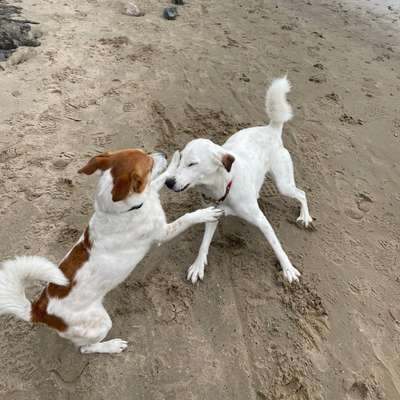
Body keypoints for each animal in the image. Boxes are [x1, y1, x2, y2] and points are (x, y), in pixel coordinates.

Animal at [0, 149, 222, 354]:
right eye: (149, 164)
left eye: (145, 151)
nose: (162, 153)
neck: (119, 210)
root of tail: (39, 310)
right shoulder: (163, 233)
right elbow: (186, 218)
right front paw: (204, 213)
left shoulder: (150, 192)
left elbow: (159, 181)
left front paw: (175, 162)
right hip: (100, 324)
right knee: (86, 348)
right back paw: (112, 346)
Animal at [166, 77, 312, 284]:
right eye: (179, 160)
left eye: (192, 163)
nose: (168, 182)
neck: (224, 186)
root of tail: (271, 128)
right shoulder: (212, 214)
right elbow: (204, 244)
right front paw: (198, 265)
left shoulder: (261, 221)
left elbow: (276, 245)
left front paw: (288, 269)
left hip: (283, 184)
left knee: (301, 193)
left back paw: (305, 217)